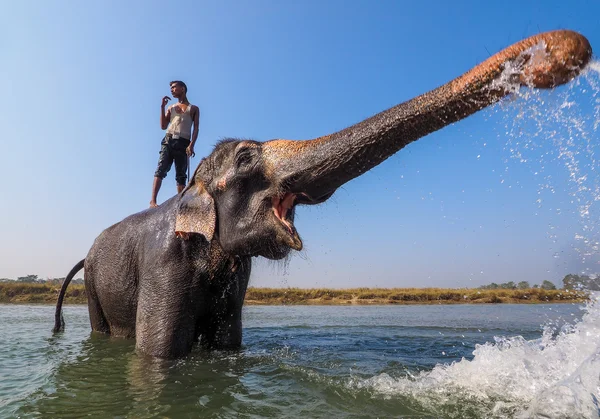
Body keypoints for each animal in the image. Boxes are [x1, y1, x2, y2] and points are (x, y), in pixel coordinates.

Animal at [51, 29, 592, 360]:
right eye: (246, 162)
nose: (560, 53)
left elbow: (227, 348)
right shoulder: (165, 264)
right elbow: (158, 355)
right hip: (95, 287)